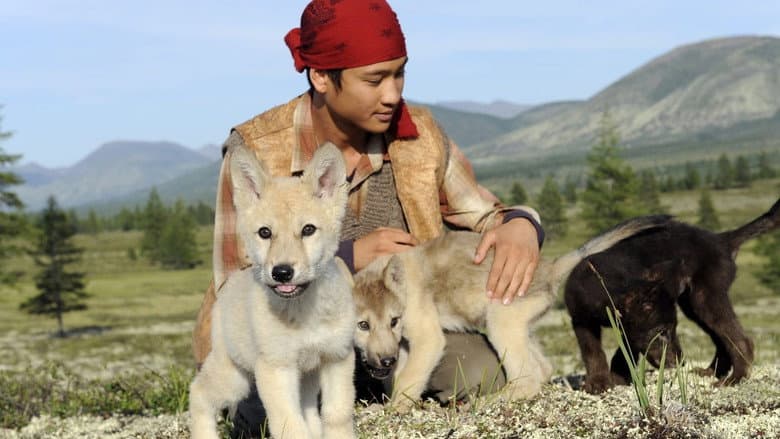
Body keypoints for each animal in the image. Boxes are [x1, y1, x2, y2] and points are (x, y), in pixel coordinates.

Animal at [188, 143, 356, 439]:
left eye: (308, 229)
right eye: (264, 233)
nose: (282, 272)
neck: (303, 310)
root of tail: (231, 283)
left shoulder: (337, 358)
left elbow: (337, 416)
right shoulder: (276, 368)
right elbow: (291, 426)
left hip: (306, 378)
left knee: (310, 413)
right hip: (235, 376)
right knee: (198, 393)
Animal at [352, 215, 670, 410]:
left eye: (393, 320)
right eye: (363, 325)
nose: (384, 360)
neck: (403, 287)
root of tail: (550, 269)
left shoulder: (427, 338)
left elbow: (408, 377)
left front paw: (393, 409)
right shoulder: (406, 345)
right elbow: (402, 376)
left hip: (500, 323)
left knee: (527, 377)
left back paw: (488, 402)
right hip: (520, 327)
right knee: (542, 369)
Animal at [565, 199, 780, 394]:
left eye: (672, 329)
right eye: (661, 332)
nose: (681, 362)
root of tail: (722, 240)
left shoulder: (628, 328)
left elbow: (625, 351)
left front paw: (617, 378)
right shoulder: (581, 320)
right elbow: (592, 352)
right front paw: (599, 382)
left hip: (704, 298)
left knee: (740, 339)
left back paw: (735, 378)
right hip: (693, 305)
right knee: (722, 339)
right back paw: (711, 372)